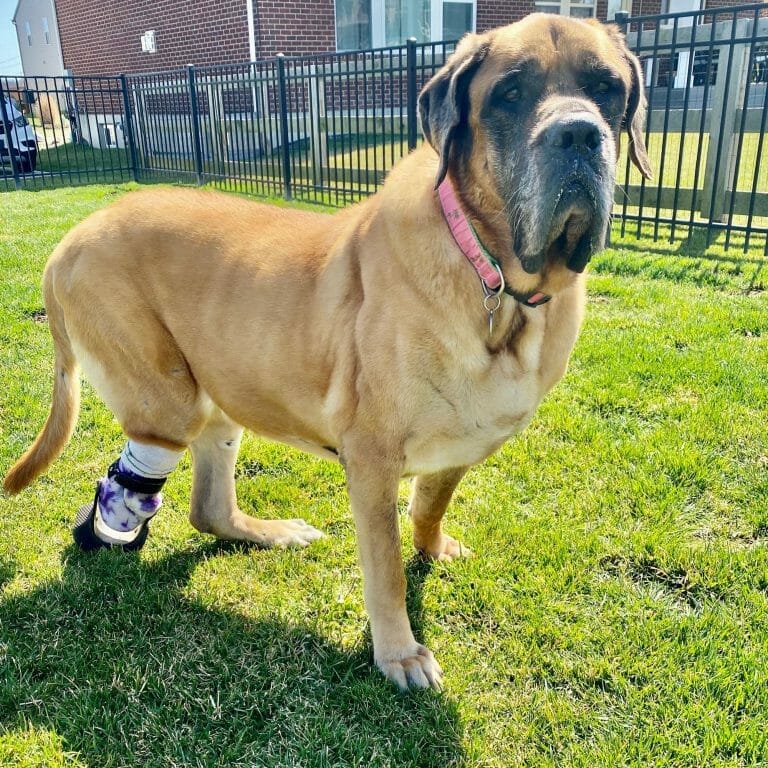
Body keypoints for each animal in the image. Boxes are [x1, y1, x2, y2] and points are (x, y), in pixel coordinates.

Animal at [6, 15, 656, 688]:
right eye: (509, 94)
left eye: (606, 88)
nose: (578, 133)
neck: (495, 281)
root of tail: (68, 243)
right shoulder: (371, 458)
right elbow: (387, 567)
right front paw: (399, 652)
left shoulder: (463, 443)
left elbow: (431, 505)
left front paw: (433, 548)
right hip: (169, 399)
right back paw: (109, 531)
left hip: (222, 393)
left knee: (208, 508)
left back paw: (267, 533)